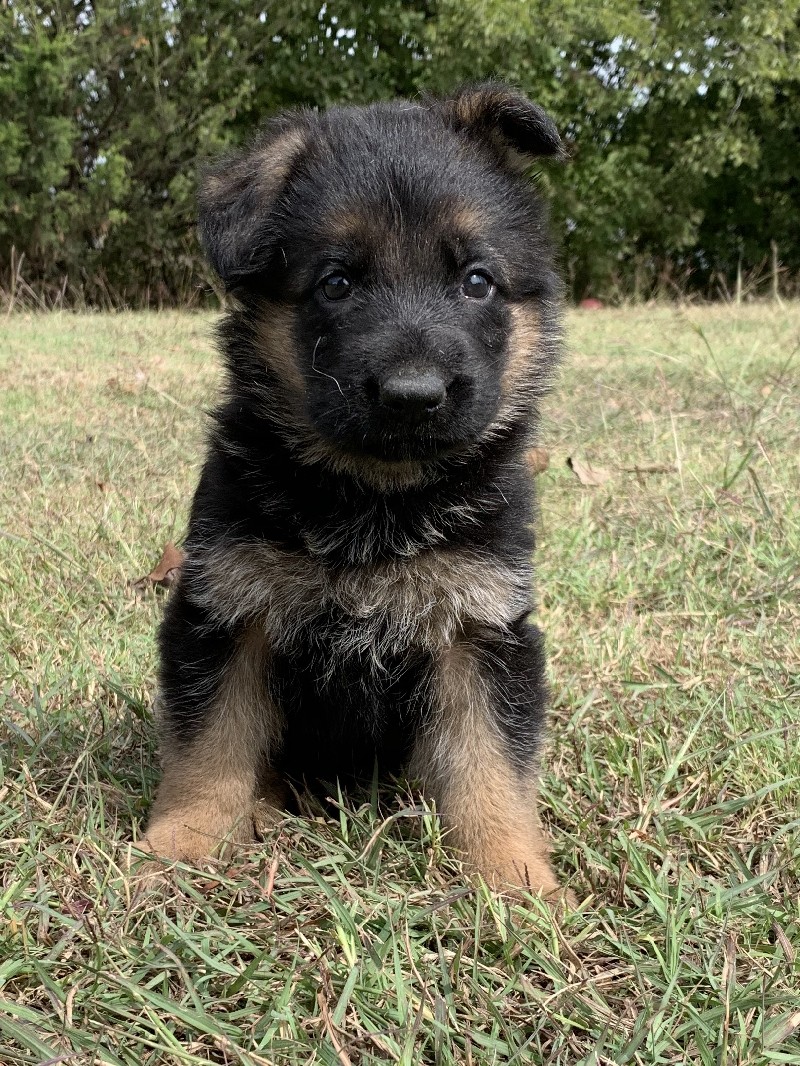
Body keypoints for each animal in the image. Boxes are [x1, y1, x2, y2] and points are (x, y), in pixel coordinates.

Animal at [144, 85, 571, 899]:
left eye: (476, 281)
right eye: (337, 283)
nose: (414, 395)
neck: (375, 502)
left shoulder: (481, 629)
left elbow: (491, 766)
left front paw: (513, 875)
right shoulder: (226, 610)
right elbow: (209, 745)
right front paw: (181, 845)